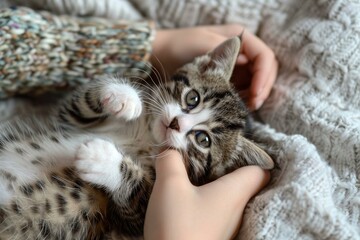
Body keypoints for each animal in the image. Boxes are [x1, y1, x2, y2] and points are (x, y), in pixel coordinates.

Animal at [0, 36, 272, 240]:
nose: (175, 123)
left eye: (203, 140)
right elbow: (79, 103)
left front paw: (102, 160)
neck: (145, 137)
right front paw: (126, 97)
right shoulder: (68, 120)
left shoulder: (130, 220)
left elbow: (138, 194)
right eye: (192, 98)